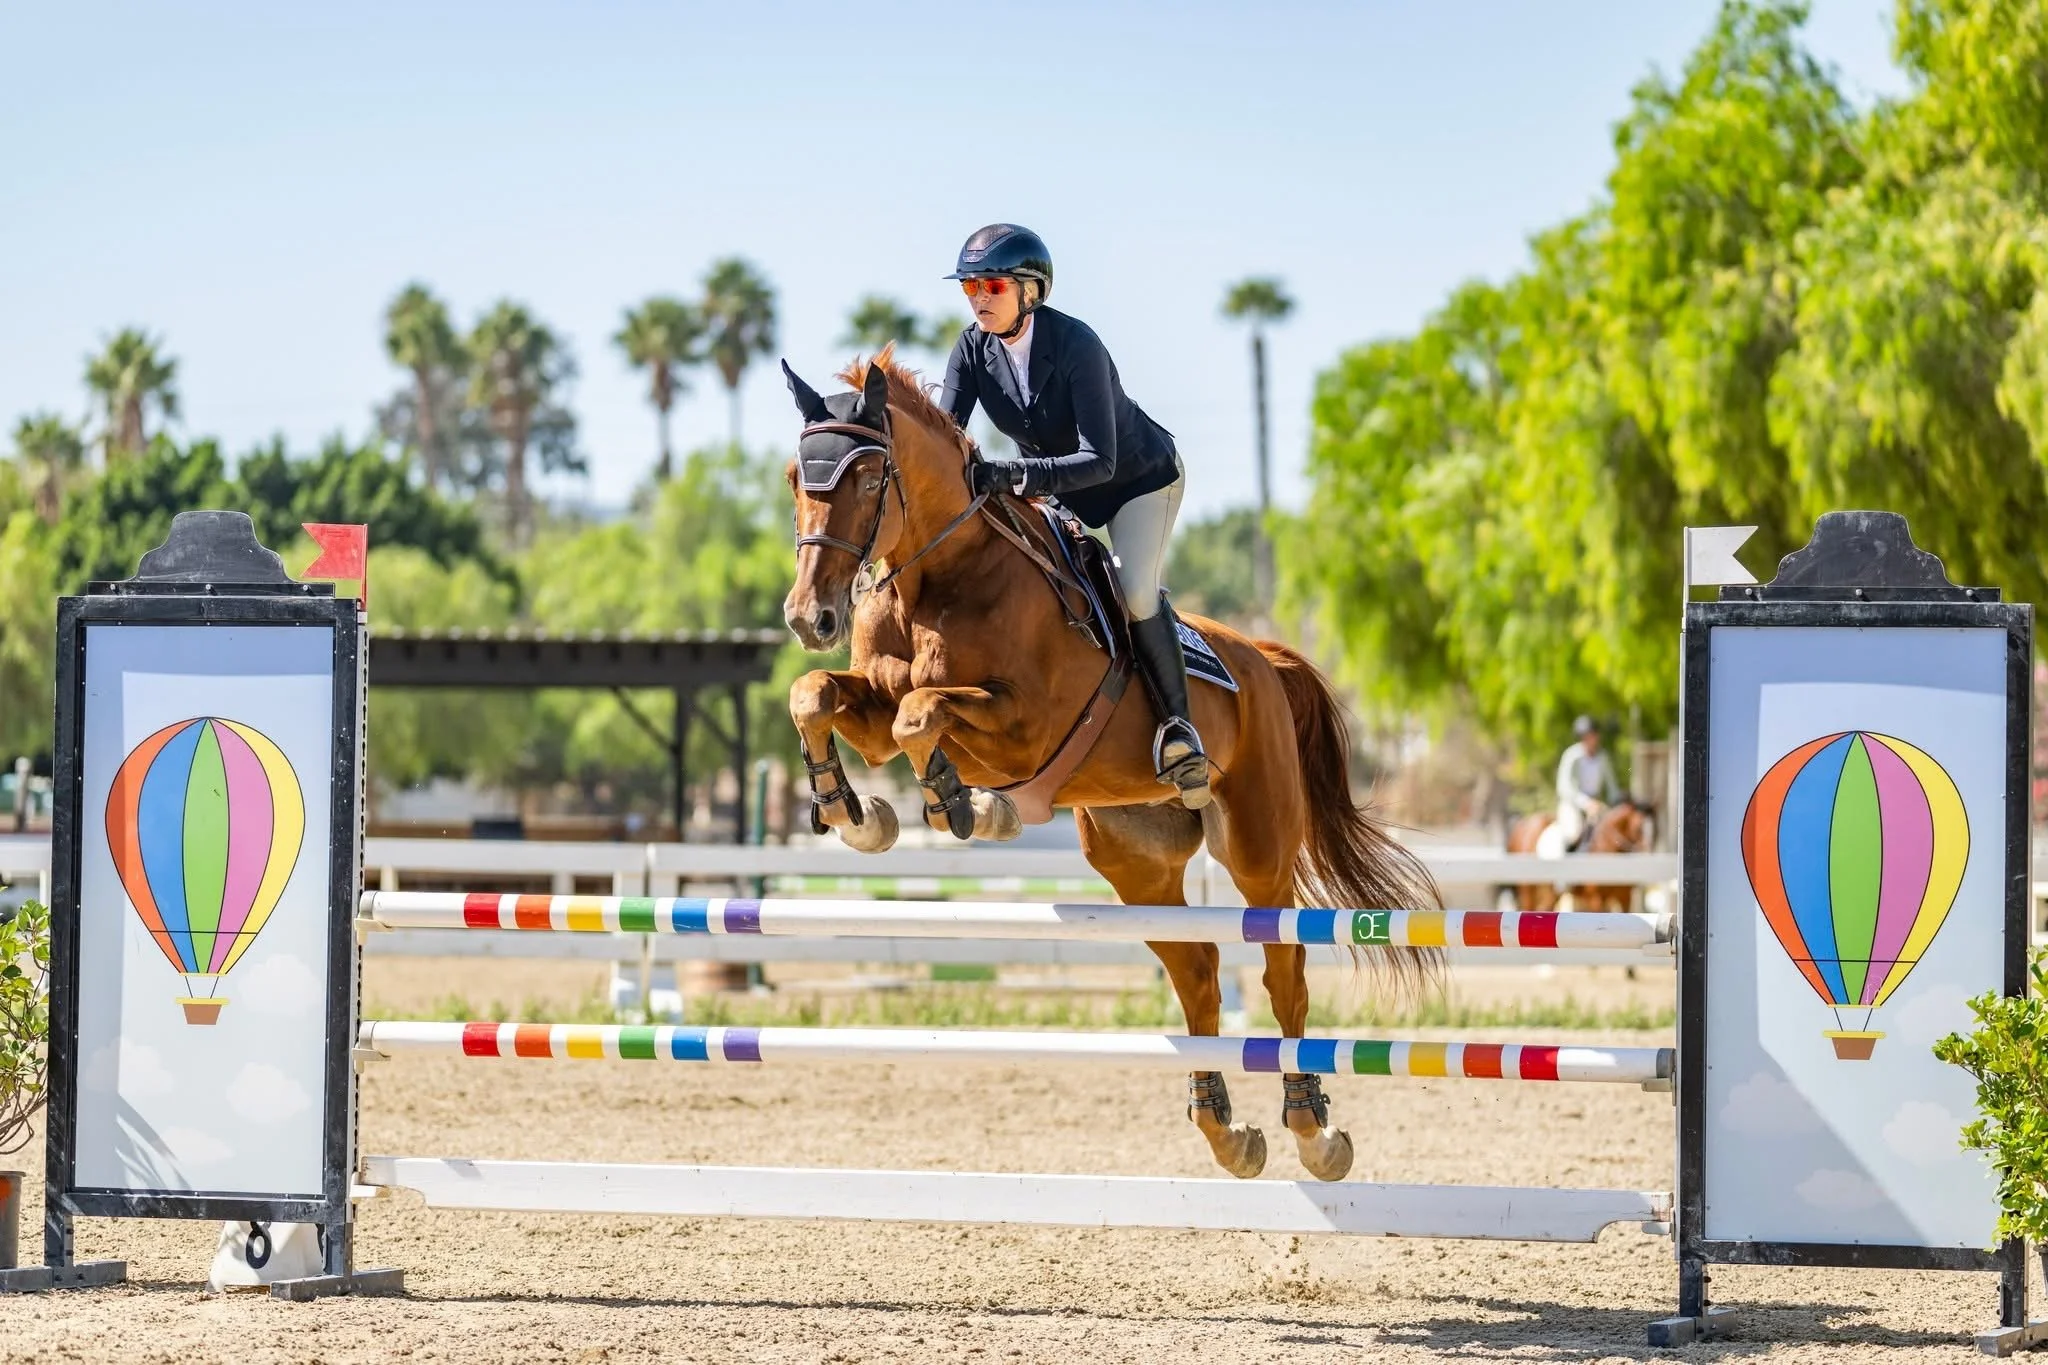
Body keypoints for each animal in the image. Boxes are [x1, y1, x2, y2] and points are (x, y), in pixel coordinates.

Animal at [778, 350, 1442, 1182]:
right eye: (795, 479)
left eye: (870, 479)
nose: (810, 617)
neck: (939, 578)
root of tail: (1264, 657)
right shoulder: (873, 710)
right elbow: (817, 695)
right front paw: (859, 813)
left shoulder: (1023, 728)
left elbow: (921, 712)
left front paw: (957, 804)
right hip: (1138, 864)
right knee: (1196, 972)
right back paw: (1228, 1131)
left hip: (1257, 846)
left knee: (1282, 968)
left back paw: (1312, 1131)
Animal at [1503, 800, 1656, 913]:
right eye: (1638, 828)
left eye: (1655, 828)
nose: (1648, 853)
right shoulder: (1596, 899)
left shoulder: (1624, 897)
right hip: (1528, 887)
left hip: (1551, 892)